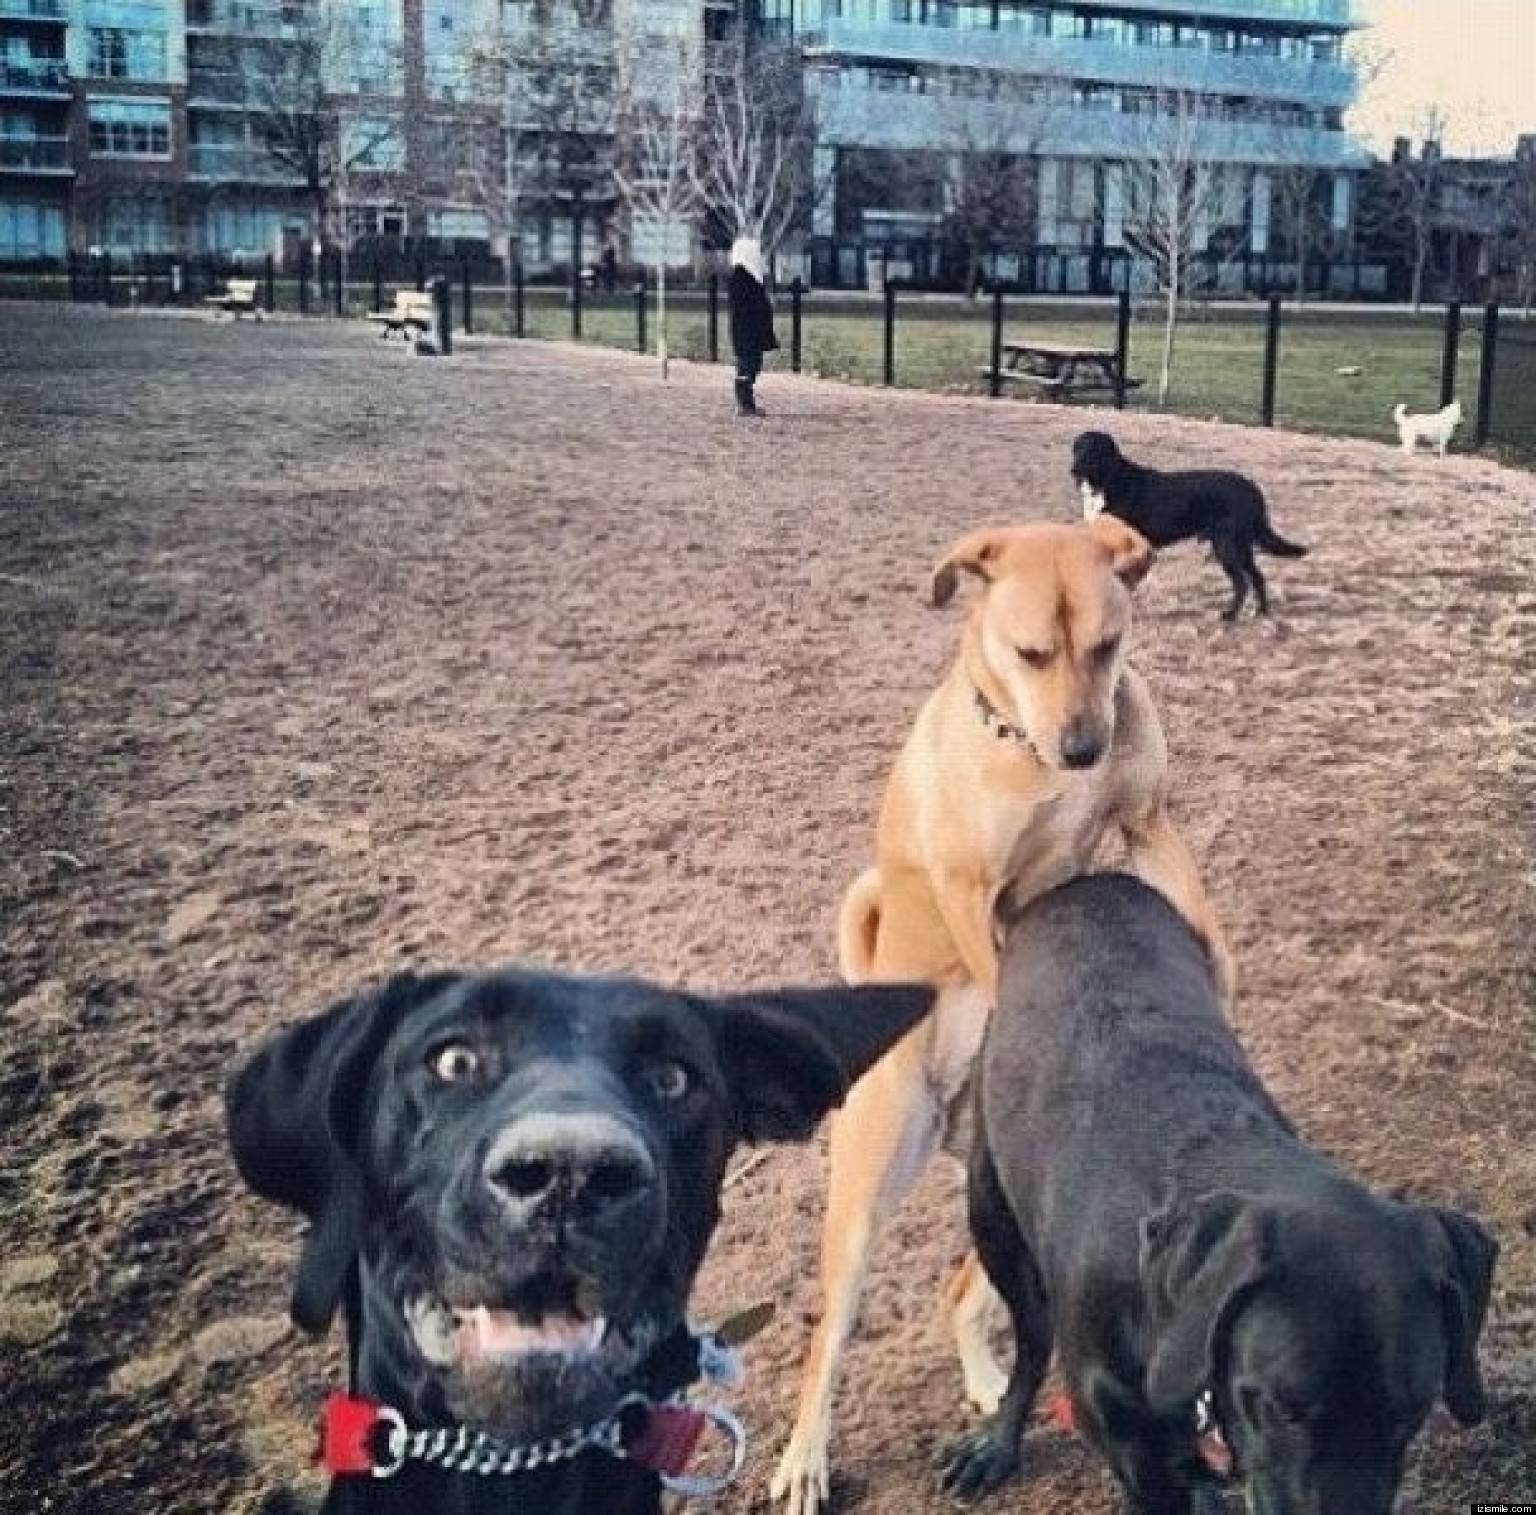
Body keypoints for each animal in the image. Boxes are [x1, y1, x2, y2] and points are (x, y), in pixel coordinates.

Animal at [774, 516, 1228, 1511]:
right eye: (1031, 652)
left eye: (1108, 645)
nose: (1084, 745)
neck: (1024, 742)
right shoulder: (971, 888)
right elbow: (995, 952)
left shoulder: (1146, 821)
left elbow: (1204, 920)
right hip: (868, 1199)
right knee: (830, 1335)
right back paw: (805, 1459)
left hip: (1002, 1202)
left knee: (962, 1293)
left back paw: (987, 1385)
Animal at [940, 872, 1492, 1511]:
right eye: (1280, 1408)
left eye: (1409, 1414)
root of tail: (1083, 885)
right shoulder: (1135, 1452)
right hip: (994, 1220)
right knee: (1030, 1348)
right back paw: (997, 1442)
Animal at [1069, 427, 1308, 617]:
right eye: (1077, 448)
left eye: (1093, 449)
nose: (1073, 469)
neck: (1108, 480)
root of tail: (1251, 486)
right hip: (1240, 546)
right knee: (1257, 577)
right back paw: (1261, 612)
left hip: (1227, 546)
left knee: (1242, 582)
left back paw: (1231, 615)